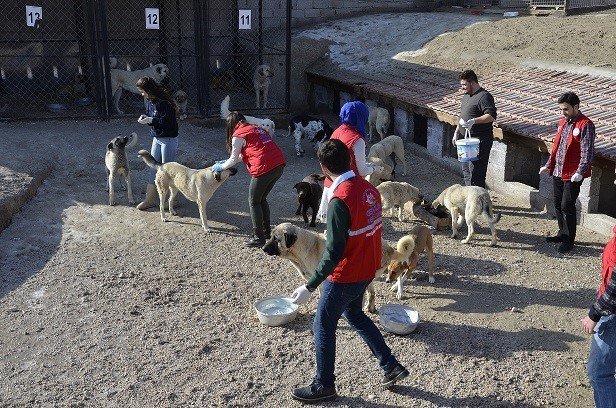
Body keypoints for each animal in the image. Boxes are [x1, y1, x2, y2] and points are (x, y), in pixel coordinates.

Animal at [262, 223, 398, 312]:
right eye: (270, 236)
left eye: (276, 239)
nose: (263, 248)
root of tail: (389, 248)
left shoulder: (321, 281)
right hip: (368, 279)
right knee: (372, 293)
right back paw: (370, 308)